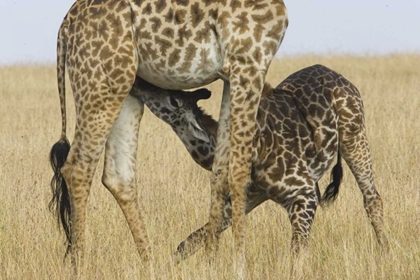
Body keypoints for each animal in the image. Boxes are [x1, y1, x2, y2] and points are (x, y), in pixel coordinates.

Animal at [47, 0, 288, 276]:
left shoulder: (230, 75)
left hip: (124, 90)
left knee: (118, 176)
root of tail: (66, 26)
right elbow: (238, 172)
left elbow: (220, 172)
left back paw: (150, 267)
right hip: (100, 86)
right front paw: (239, 268)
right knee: (78, 168)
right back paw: (80, 269)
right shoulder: (249, 63)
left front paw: (211, 263)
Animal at [130, 64, 388, 262]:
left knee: (372, 199)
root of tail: (340, 77)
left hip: (354, 137)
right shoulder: (250, 196)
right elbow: (193, 239)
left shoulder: (303, 194)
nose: (138, 83)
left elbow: (298, 251)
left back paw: (386, 253)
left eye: (173, 100)